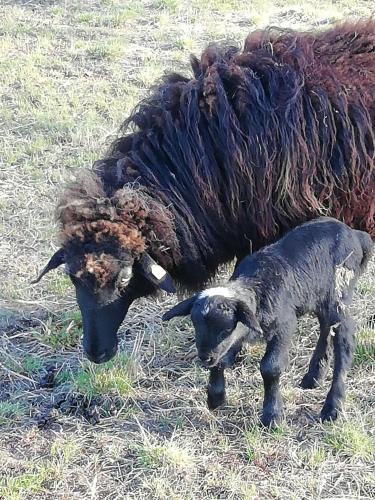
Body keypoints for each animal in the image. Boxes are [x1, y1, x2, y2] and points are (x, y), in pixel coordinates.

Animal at [163, 217, 374, 428]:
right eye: (195, 325)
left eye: (225, 329)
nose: (205, 357)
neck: (257, 287)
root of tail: (355, 234)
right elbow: (222, 359)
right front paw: (216, 397)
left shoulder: (284, 325)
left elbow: (270, 367)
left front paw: (272, 416)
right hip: (320, 297)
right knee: (325, 328)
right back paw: (314, 376)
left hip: (340, 295)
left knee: (344, 342)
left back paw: (332, 407)